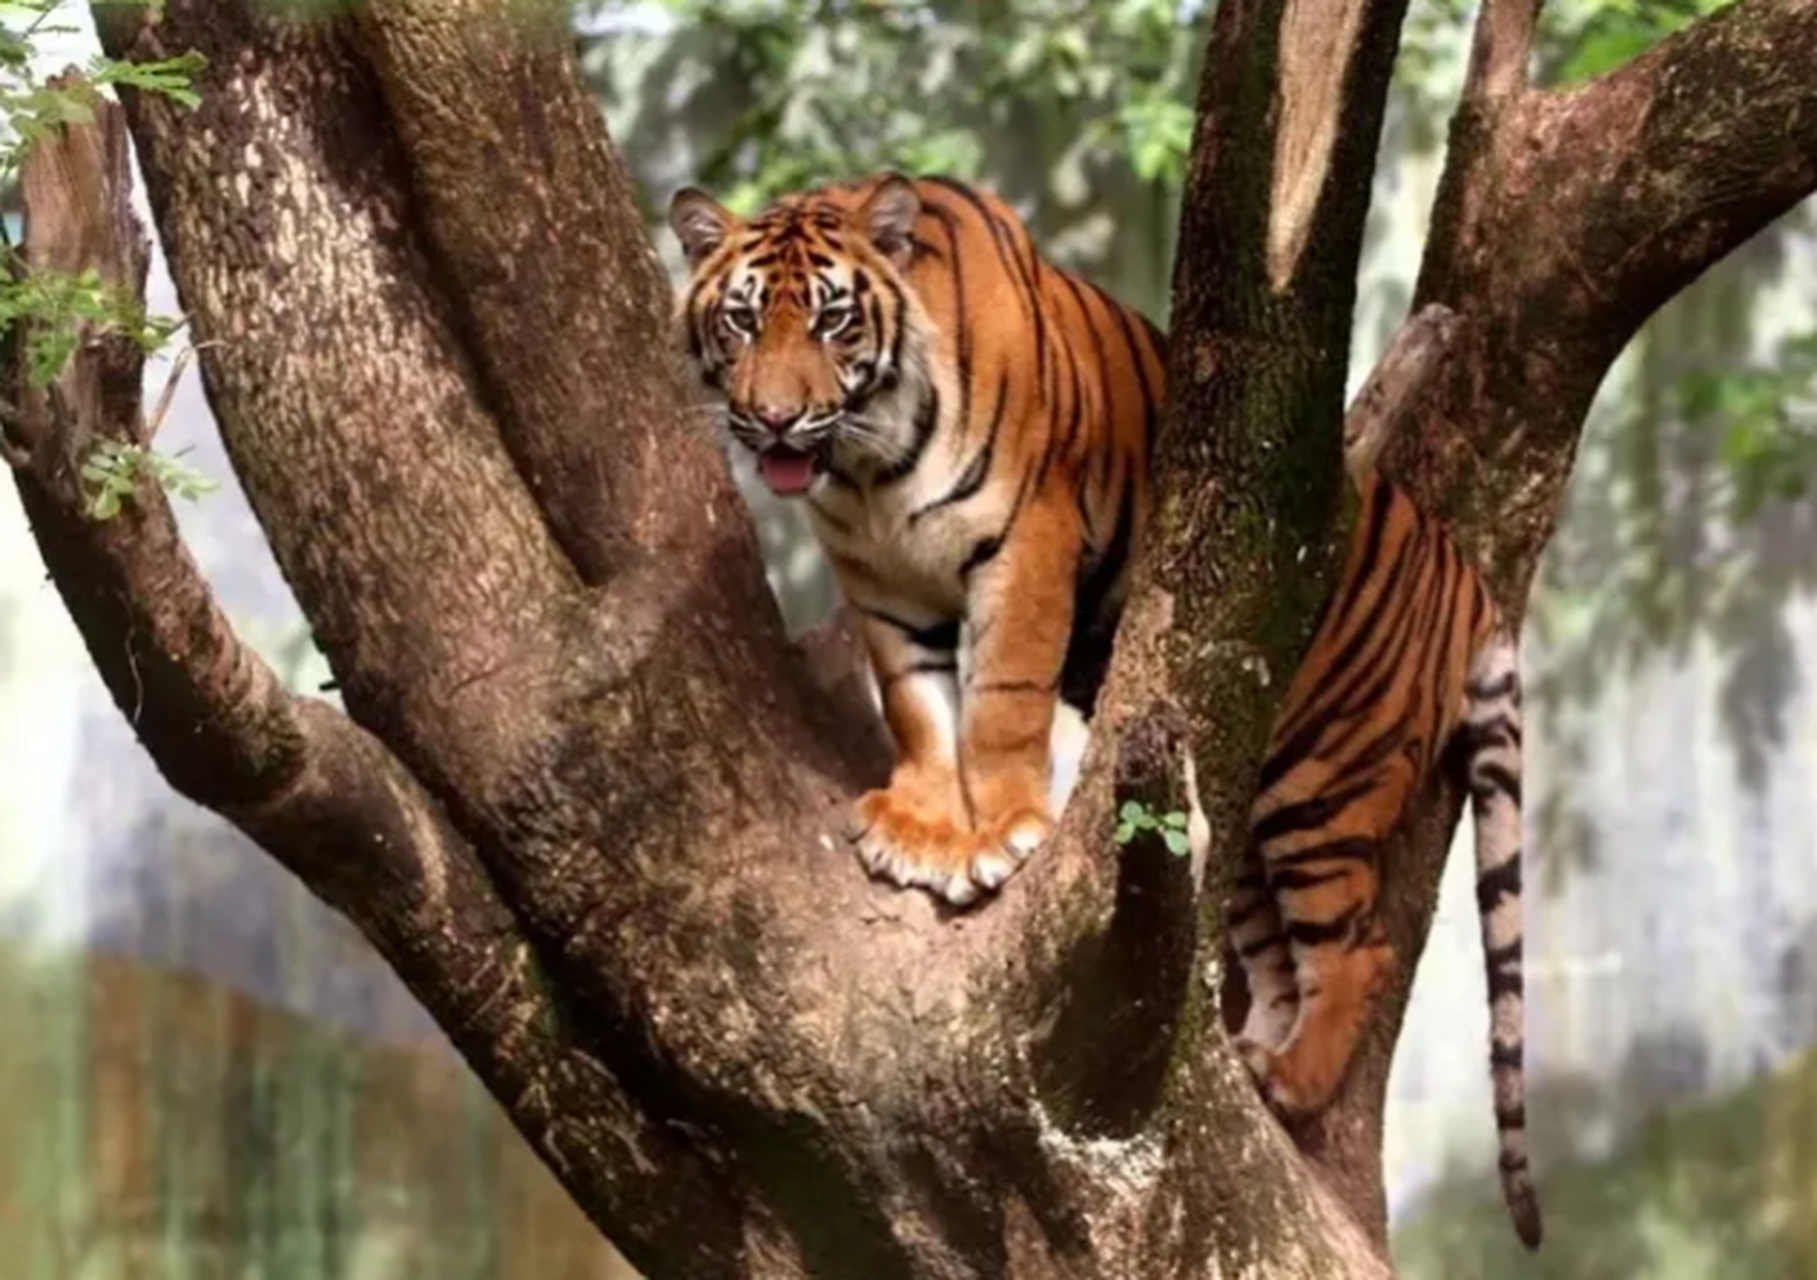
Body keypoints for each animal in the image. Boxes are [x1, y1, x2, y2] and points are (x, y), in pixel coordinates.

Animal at [666, 171, 1165, 907]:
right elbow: (915, 698)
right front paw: (919, 828)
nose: (776, 418)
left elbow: (1004, 697)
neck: (871, 468)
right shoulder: (877, 576)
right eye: (742, 321)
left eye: (832, 320)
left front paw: (1004, 826)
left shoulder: (1027, 542)